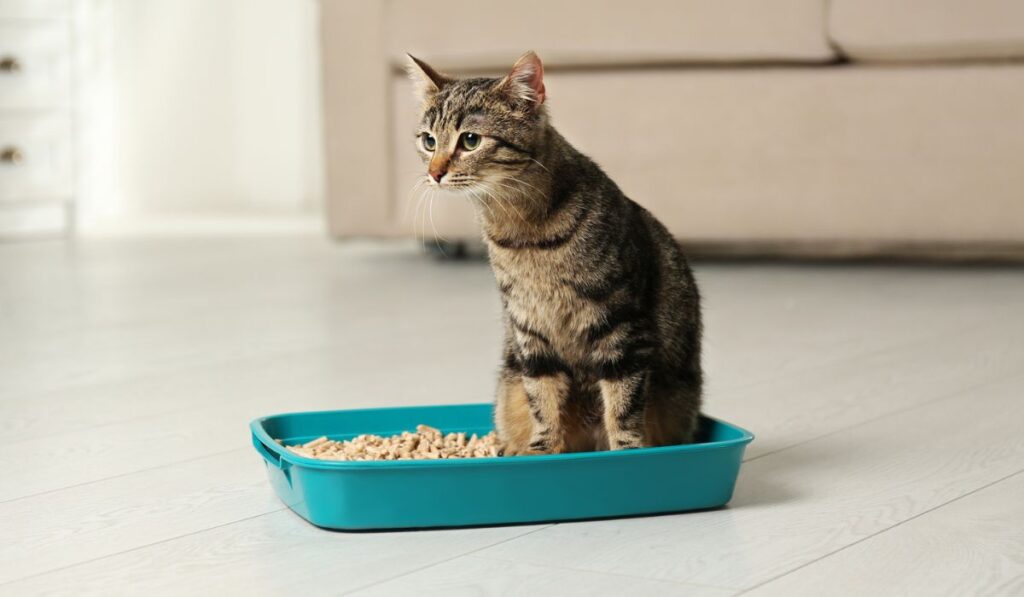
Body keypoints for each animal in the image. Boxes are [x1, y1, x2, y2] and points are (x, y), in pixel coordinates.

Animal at [407, 53, 704, 454]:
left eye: (470, 140)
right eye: (429, 140)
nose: (434, 173)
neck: (522, 233)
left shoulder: (621, 325)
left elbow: (623, 404)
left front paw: (625, 452)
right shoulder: (530, 330)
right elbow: (543, 402)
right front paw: (540, 451)